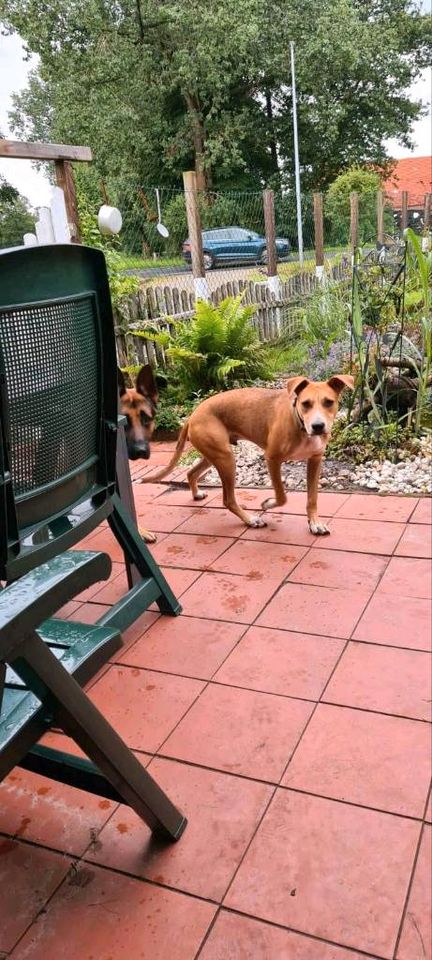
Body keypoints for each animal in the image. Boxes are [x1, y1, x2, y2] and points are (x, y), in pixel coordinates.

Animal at [143, 376, 352, 536]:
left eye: (329, 402)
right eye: (305, 404)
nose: (318, 426)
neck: (299, 422)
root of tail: (193, 414)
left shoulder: (315, 461)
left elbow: (312, 498)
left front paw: (314, 523)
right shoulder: (272, 459)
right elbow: (282, 496)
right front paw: (268, 503)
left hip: (213, 454)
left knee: (191, 473)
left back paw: (196, 494)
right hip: (226, 459)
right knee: (228, 500)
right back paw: (250, 520)